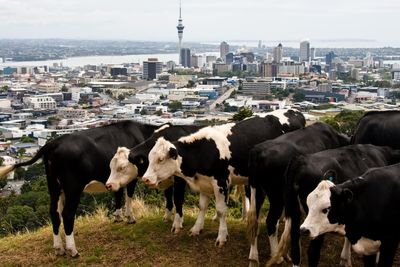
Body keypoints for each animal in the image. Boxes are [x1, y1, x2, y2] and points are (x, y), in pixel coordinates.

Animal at [0, 121, 159, 258]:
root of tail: (53, 143)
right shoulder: (132, 176)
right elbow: (129, 196)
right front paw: (130, 218)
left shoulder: (117, 178)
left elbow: (118, 194)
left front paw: (118, 216)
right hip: (73, 188)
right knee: (67, 214)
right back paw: (73, 250)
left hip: (54, 185)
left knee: (54, 212)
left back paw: (59, 249)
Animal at [141, 110, 306, 248]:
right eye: (149, 158)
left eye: (161, 159)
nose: (145, 179)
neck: (204, 150)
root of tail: (295, 111)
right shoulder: (204, 182)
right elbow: (202, 206)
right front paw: (196, 228)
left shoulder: (221, 183)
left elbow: (221, 211)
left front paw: (221, 236)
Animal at [247, 123, 350, 266]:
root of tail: (257, 151)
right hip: (277, 196)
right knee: (271, 221)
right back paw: (276, 256)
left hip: (257, 191)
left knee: (254, 221)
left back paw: (253, 257)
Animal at [270, 146, 400, 266]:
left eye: (326, 209)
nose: (304, 229)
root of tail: (299, 159)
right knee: (312, 252)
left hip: (294, 214)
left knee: (296, 250)